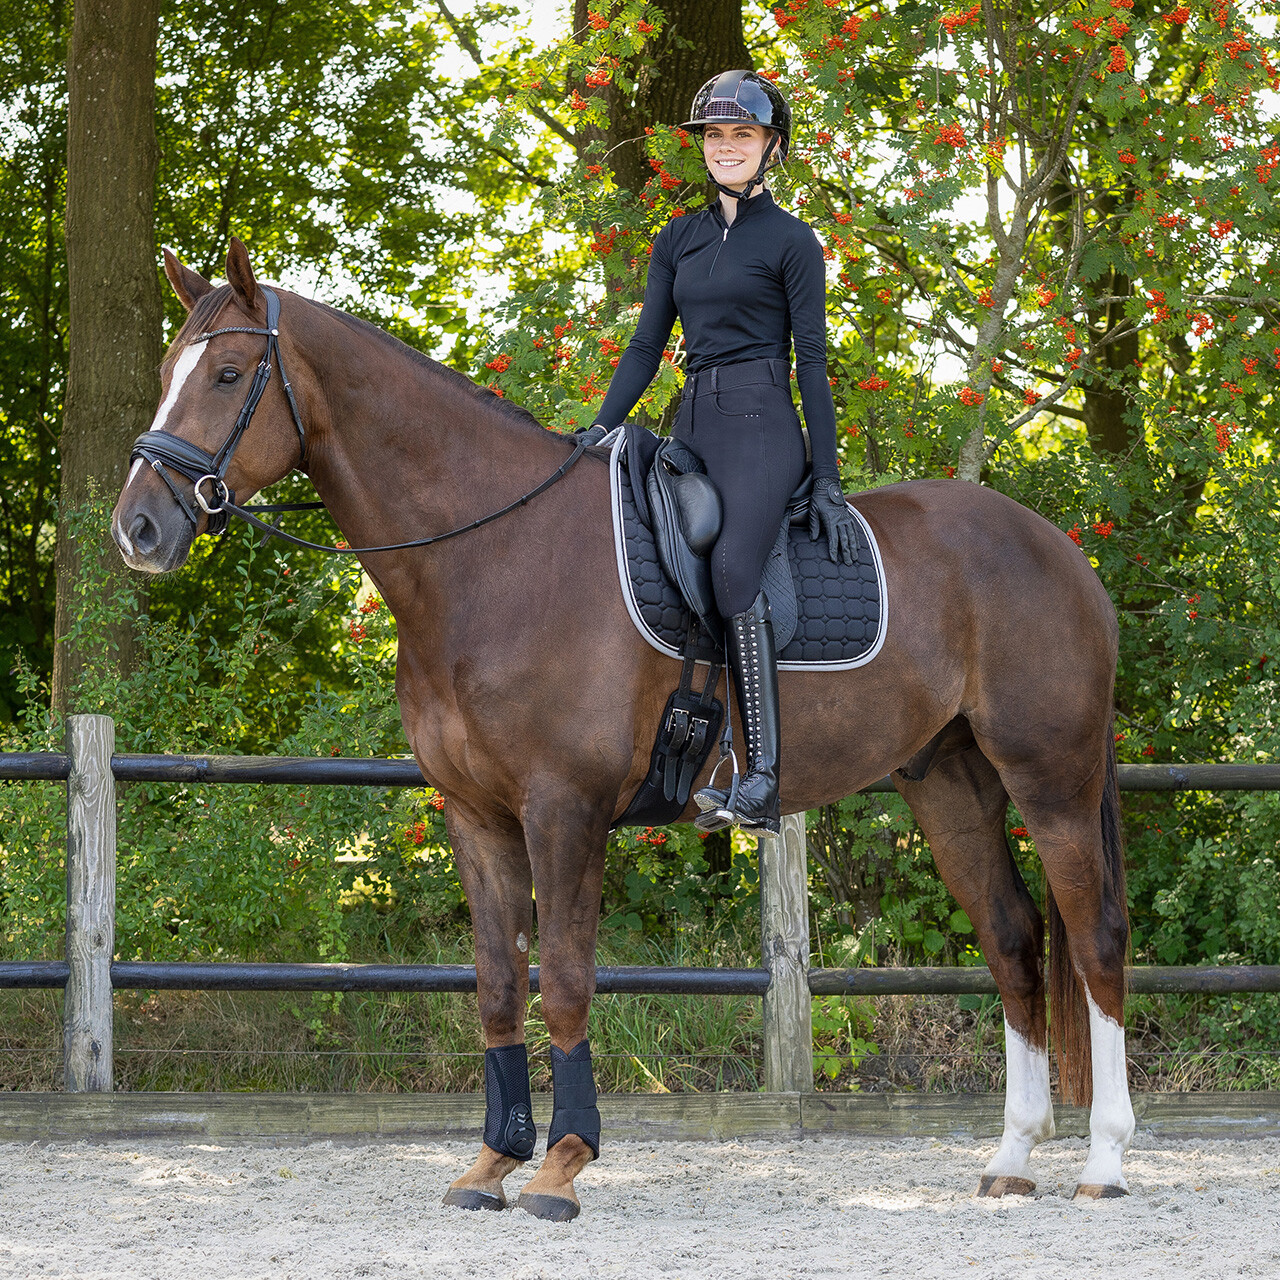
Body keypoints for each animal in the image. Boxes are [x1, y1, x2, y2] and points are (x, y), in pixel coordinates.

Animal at [112, 238, 1134, 1218]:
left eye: (230, 374)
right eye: (165, 368)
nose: (139, 529)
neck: (491, 557)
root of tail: (1057, 546)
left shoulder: (564, 810)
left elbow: (565, 980)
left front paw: (563, 1166)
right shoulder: (475, 817)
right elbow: (496, 985)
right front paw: (490, 1162)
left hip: (1051, 778)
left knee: (1094, 940)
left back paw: (1105, 1162)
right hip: (950, 781)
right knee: (1012, 941)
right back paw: (1011, 1161)